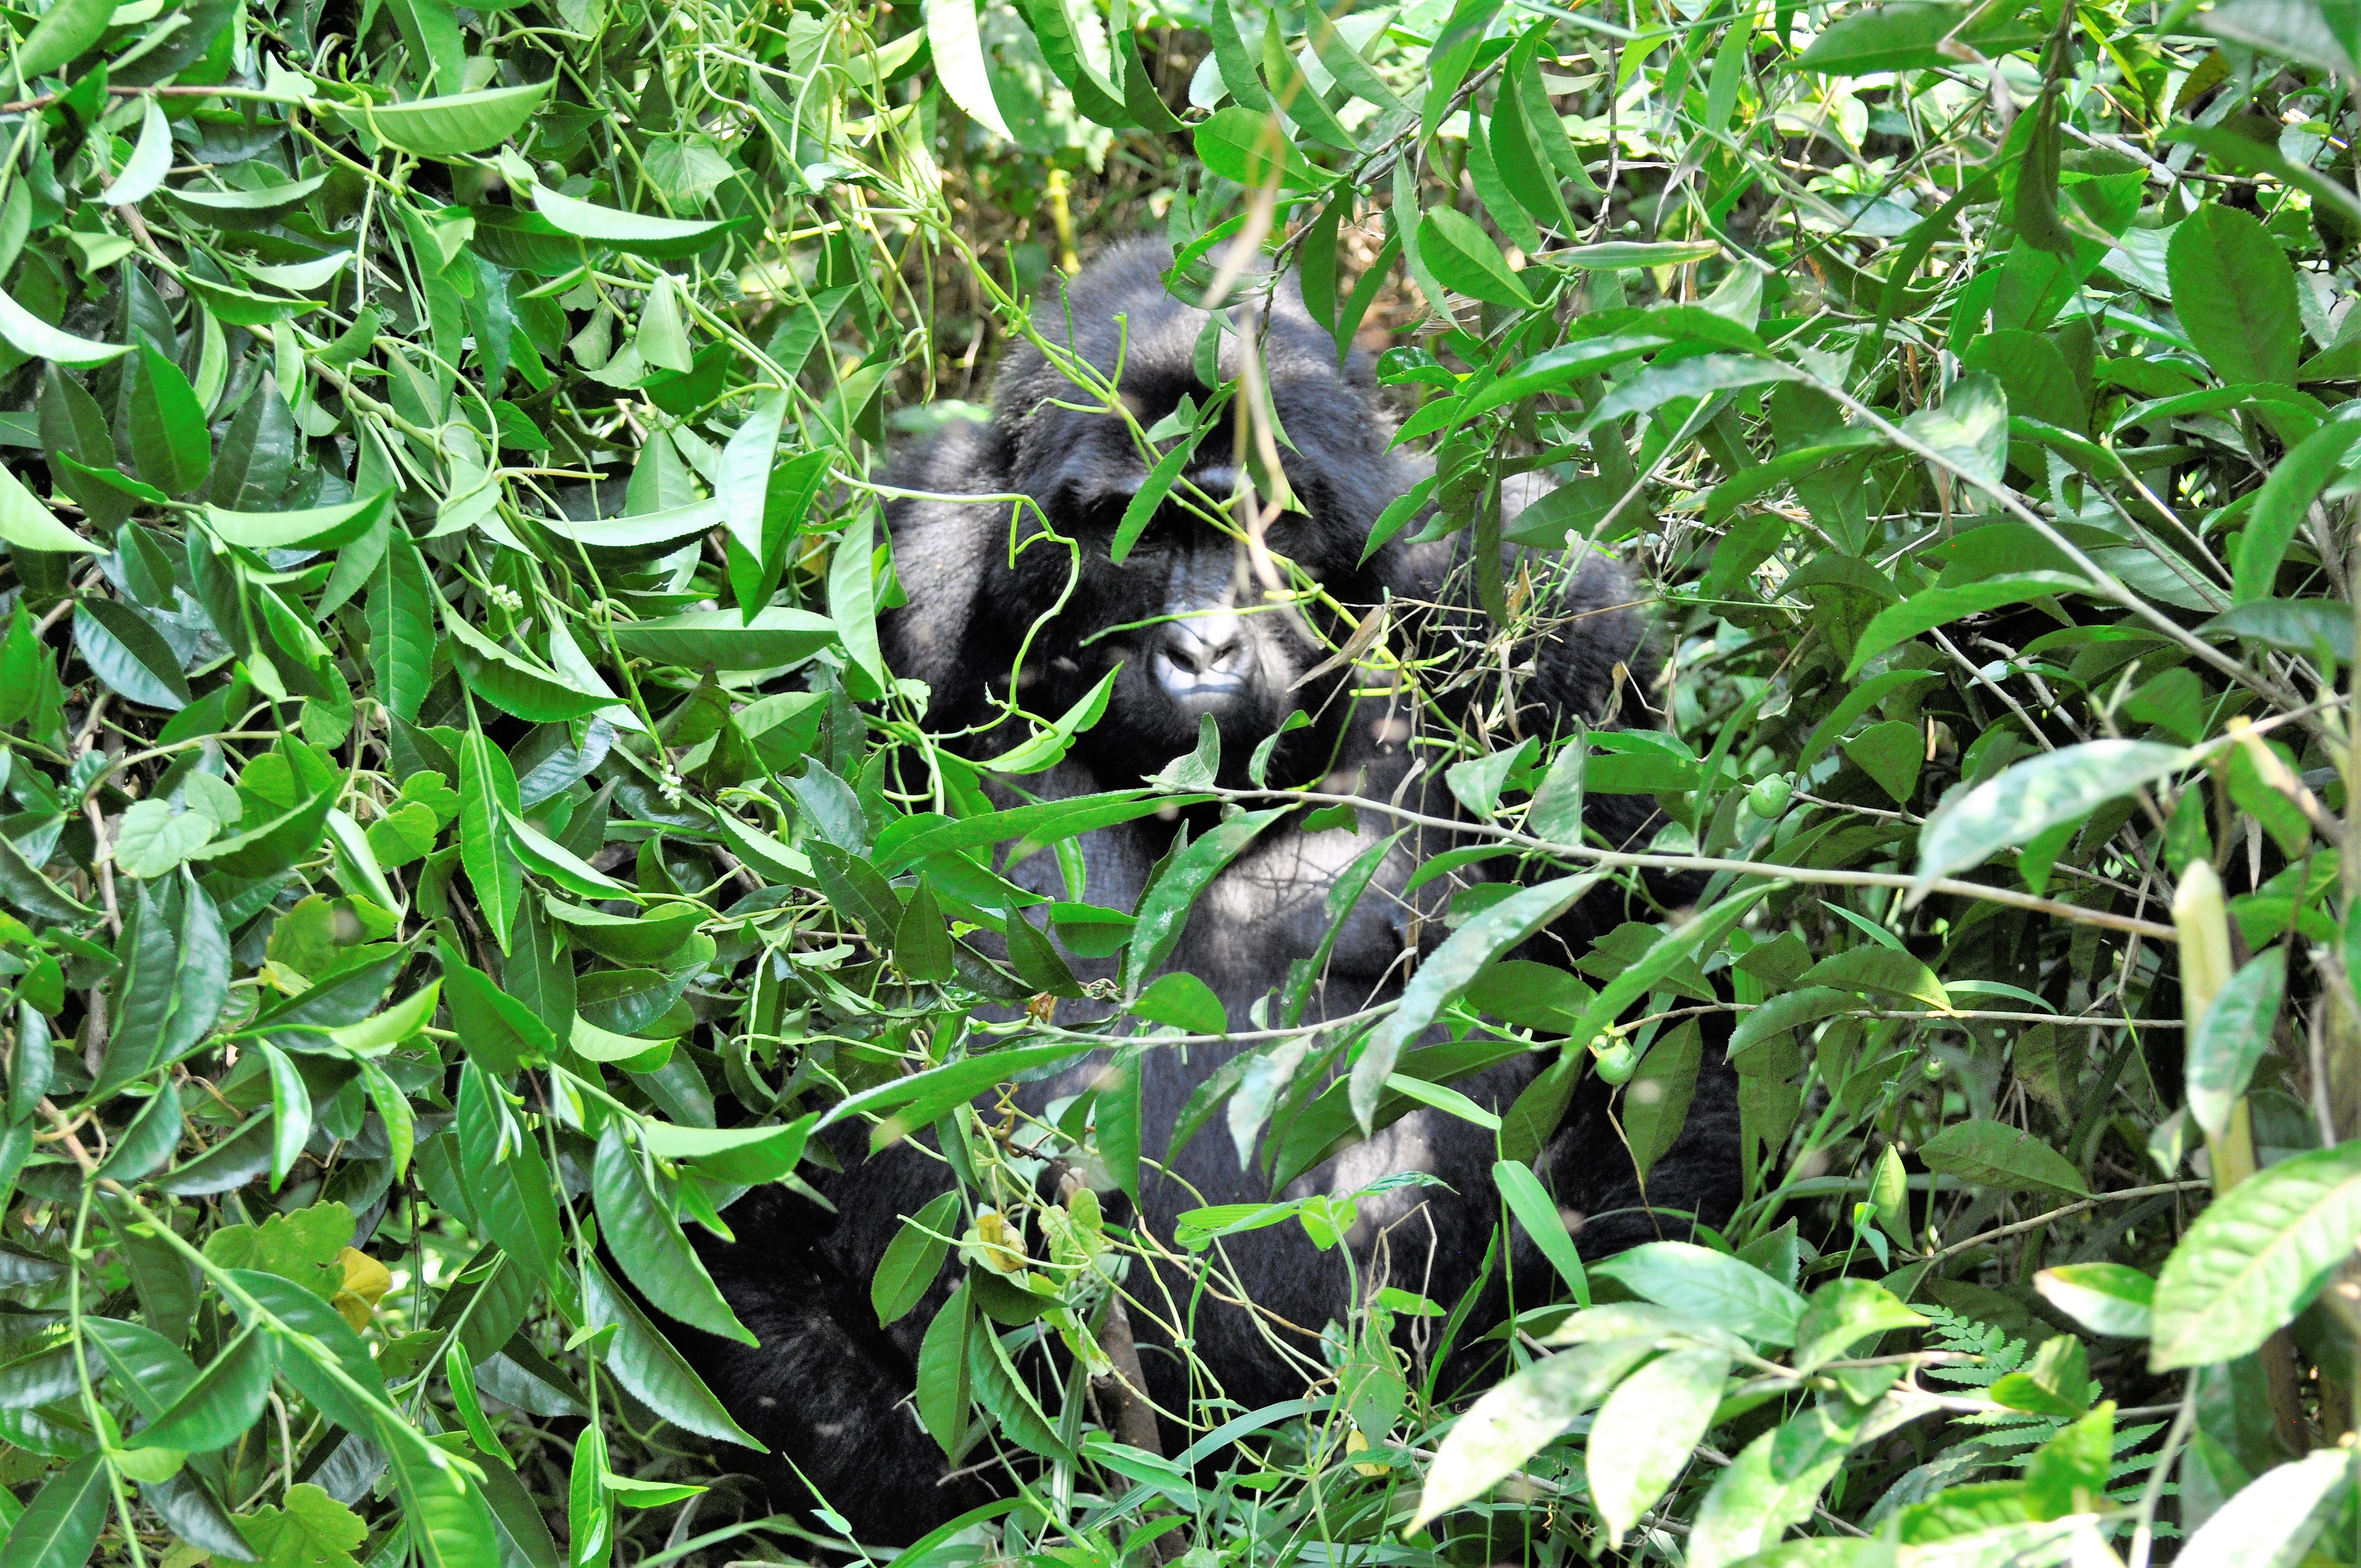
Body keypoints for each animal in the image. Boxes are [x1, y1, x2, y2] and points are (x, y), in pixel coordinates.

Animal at [676, 240, 1741, 1546]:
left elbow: (1666, 1026)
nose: (1201, 649)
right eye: (1126, 530)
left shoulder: (1547, 604)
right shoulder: (889, 579)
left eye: (1262, 524)